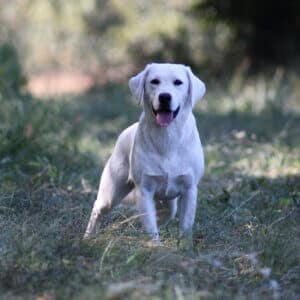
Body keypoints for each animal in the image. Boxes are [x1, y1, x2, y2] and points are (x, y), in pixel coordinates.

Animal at [84, 63, 206, 241]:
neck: (167, 137)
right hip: (111, 192)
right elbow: (150, 227)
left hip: (168, 202)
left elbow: (185, 226)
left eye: (178, 82)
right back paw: (88, 237)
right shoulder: (145, 190)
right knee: (97, 209)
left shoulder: (189, 189)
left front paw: (184, 245)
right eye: (154, 81)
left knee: (165, 213)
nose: (164, 97)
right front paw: (155, 246)